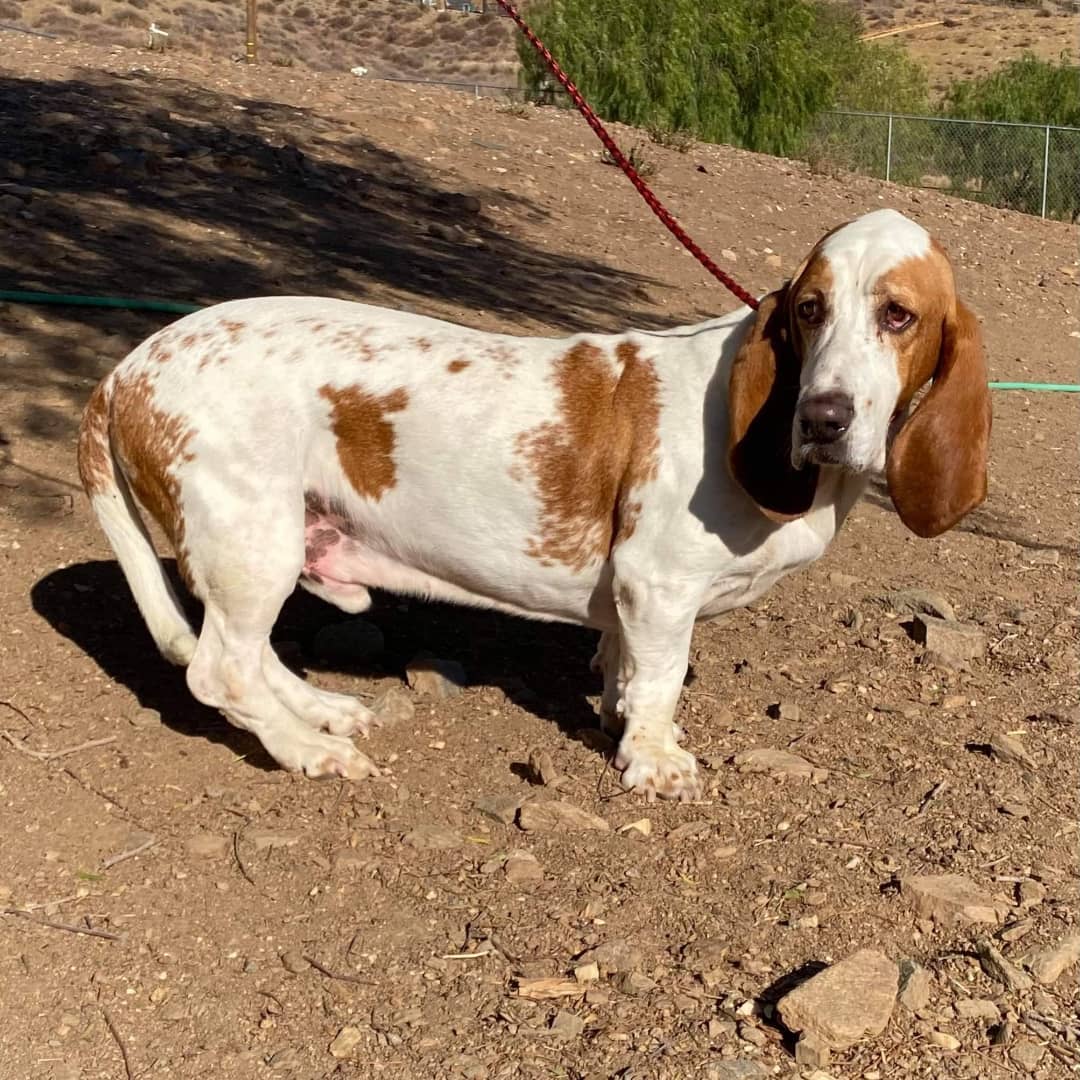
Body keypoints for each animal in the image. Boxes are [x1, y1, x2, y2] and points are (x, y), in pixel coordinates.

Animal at [73, 210, 989, 803]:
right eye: (809, 310)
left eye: (898, 315)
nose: (823, 417)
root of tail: (124, 370)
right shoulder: (659, 586)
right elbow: (662, 678)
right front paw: (654, 760)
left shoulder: (630, 603)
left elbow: (623, 667)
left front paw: (621, 717)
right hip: (250, 541)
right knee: (217, 668)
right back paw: (307, 750)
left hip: (264, 548)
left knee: (249, 657)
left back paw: (322, 711)